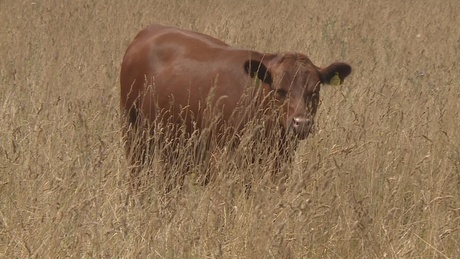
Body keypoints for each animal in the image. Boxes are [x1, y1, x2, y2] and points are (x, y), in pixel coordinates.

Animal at [119, 23, 352, 189]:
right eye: (279, 90)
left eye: (315, 92)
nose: (301, 123)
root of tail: (152, 29)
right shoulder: (221, 160)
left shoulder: (280, 162)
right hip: (133, 133)